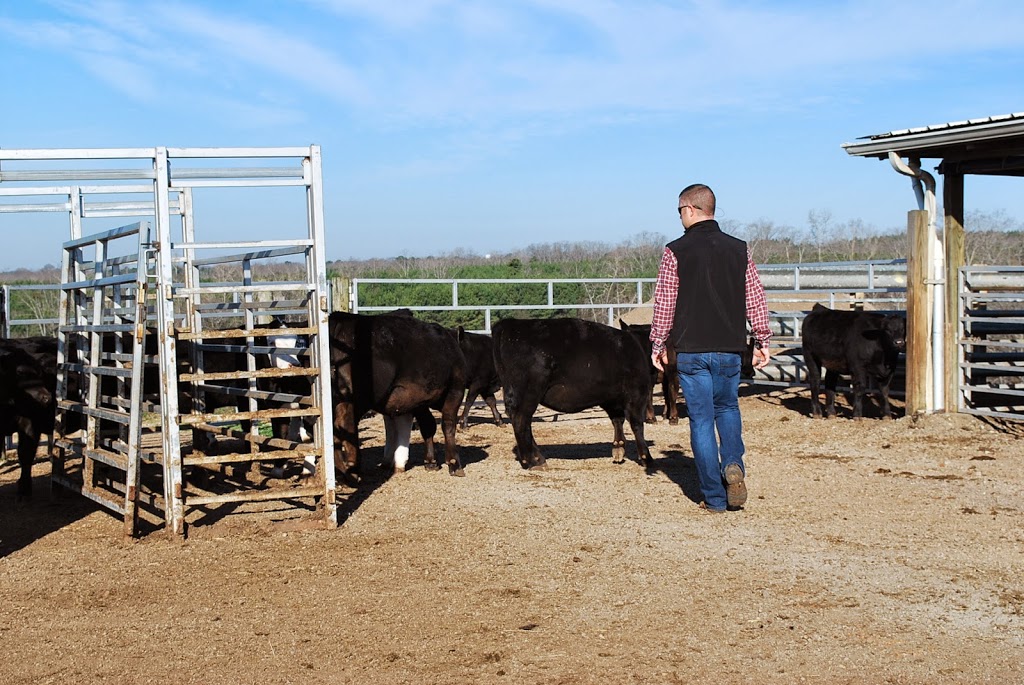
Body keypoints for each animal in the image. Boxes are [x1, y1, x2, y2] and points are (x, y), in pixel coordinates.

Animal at [327, 311, 468, 479]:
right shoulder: (455, 390)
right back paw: (351, 468)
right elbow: (448, 425)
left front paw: (430, 461)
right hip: (358, 398)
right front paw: (454, 463)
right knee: (344, 425)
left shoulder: (419, 400)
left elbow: (428, 426)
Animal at [491, 317, 651, 471]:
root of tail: (510, 324)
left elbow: (618, 421)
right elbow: (637, 424)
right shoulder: (637, 393)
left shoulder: (612, 400)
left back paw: (537, 458)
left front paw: (618, 449)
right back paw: (534, 461)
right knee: (521, 419)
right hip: (528, 392)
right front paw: (646, 458)